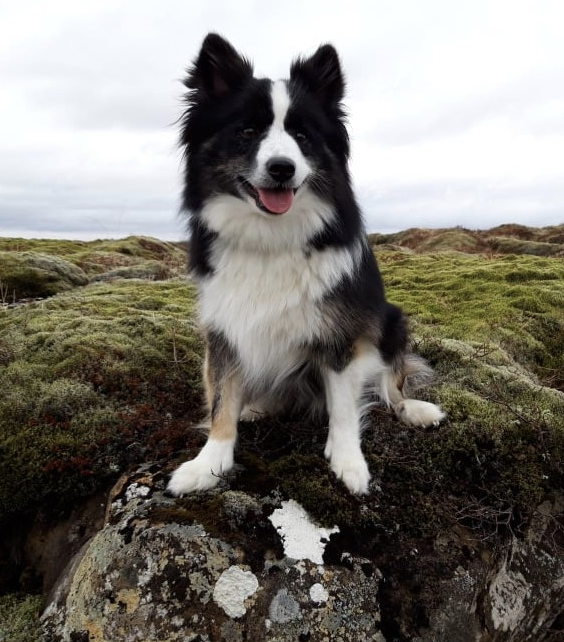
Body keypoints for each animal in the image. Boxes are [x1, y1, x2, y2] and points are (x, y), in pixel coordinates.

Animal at [167, 33, 446, 496]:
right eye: (247, 131)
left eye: (302, 134)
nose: (282, 168)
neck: (270, 238)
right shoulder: (224, 326)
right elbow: (222, 396)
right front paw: (209, 462)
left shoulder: (340, 333)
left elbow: (345, 407)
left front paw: (349, 462)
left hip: (392, 321)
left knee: (391, 383)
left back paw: (413, 410)